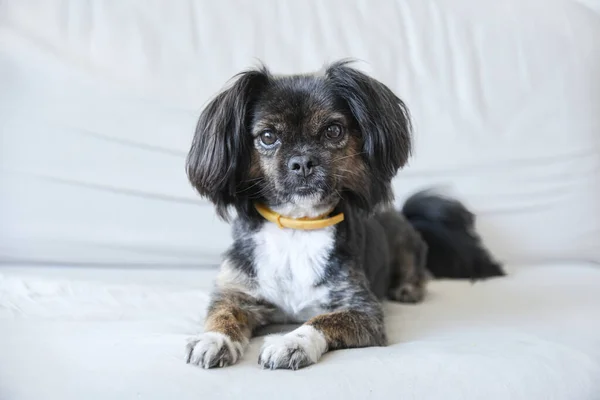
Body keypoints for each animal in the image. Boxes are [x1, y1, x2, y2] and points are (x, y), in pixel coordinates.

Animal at [183, 59, 502, 368]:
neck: (299, 227)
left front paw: (291, 343)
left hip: (406, 247)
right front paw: (213, 339)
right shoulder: (236, 293)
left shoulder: (363, 310)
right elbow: (222, 314)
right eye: (268, 136)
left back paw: (408, 289)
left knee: (418, 270)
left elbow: (322, 320)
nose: (302, 162)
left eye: (333, 130)